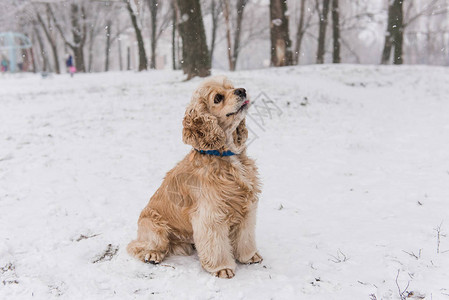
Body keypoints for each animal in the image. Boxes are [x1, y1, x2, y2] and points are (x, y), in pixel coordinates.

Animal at [126, 75, 260, 278]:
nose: (242, 90)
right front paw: (222, 268)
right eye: (218, 98)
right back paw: (152, 255)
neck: (227, 155)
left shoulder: (247, 209)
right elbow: (215, 245)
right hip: (154, 227)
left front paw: (249, 256)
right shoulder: (210, 215)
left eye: (232, 87)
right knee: (137, 246)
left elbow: (245, 237)